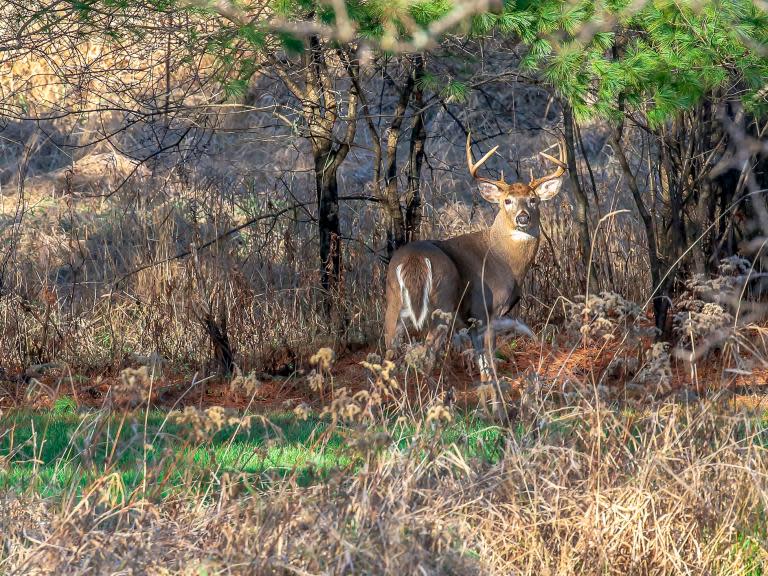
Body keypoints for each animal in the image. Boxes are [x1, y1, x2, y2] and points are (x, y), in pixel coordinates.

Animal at [382, 133, 568, 380]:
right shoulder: (486, 310)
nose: (523, 218)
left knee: (388, 354)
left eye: (533, 199)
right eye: (507, 200)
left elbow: (482, 364)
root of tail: (415, 260)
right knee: (428, 355)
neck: (505, 260)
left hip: (393, 301)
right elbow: (489, 364)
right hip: (443, 302)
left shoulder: (472, 323)